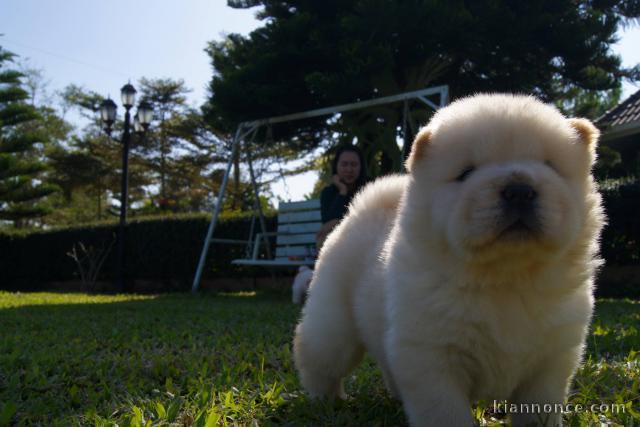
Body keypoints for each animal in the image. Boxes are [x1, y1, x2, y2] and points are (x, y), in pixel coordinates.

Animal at [292, 94, 604, 427]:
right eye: (465, 173)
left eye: (551, 167)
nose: (519, 190)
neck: (507, 278)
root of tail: (360, 212)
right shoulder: (433, 356)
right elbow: (446, 412)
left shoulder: (551, 360)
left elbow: (539, 408)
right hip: (335, 326)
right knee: (316, 356)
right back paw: (326, 401)